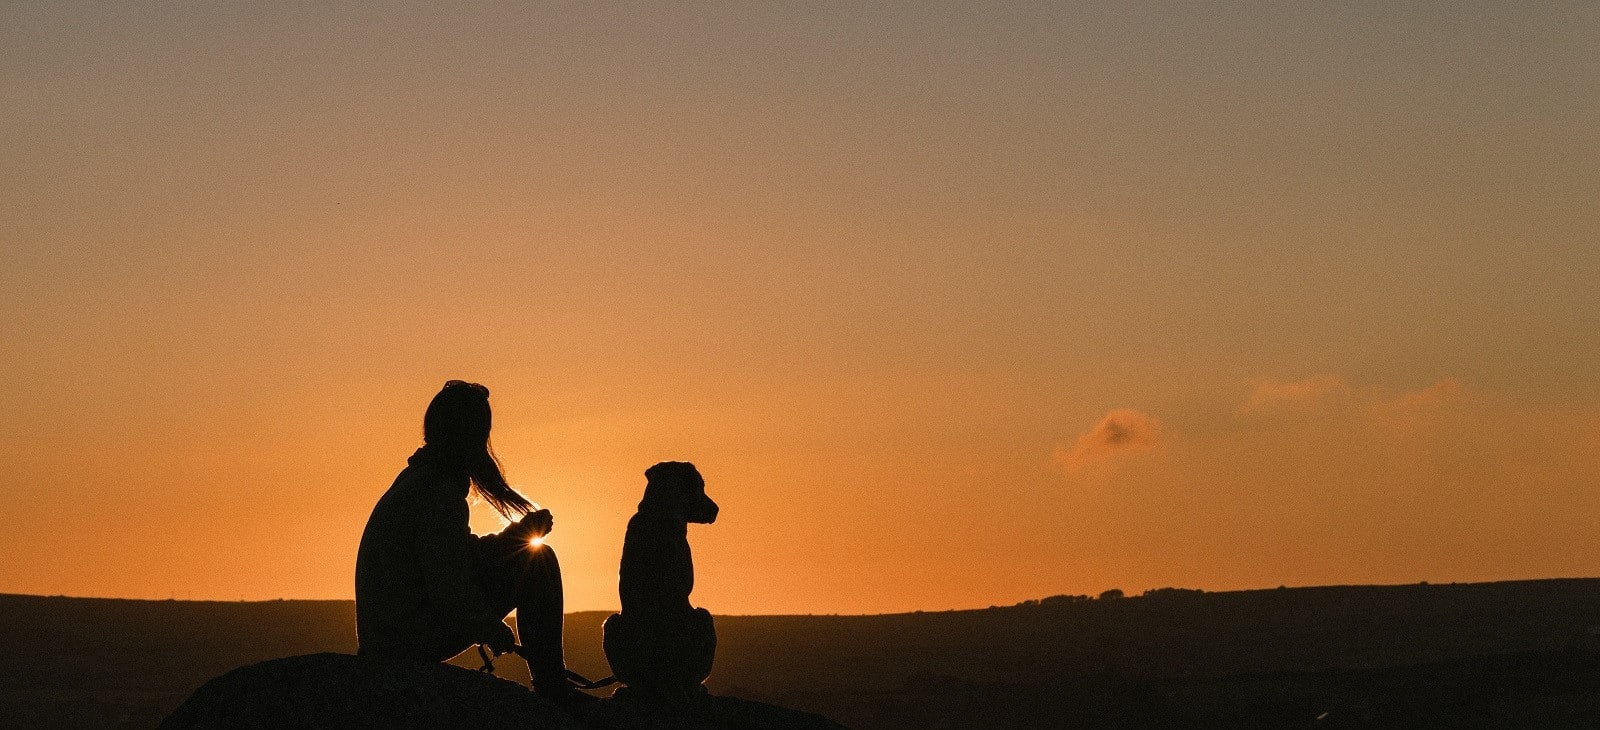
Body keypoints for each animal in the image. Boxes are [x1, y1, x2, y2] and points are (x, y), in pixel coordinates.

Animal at [604, 457, 720, 704]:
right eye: (700, 486)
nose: (716, 509)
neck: (657, 514)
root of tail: (665, 679)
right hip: (705, 617)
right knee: (689, 680)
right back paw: (695, 688)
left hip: (612, 623)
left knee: (639, 684)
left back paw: (626, 690)